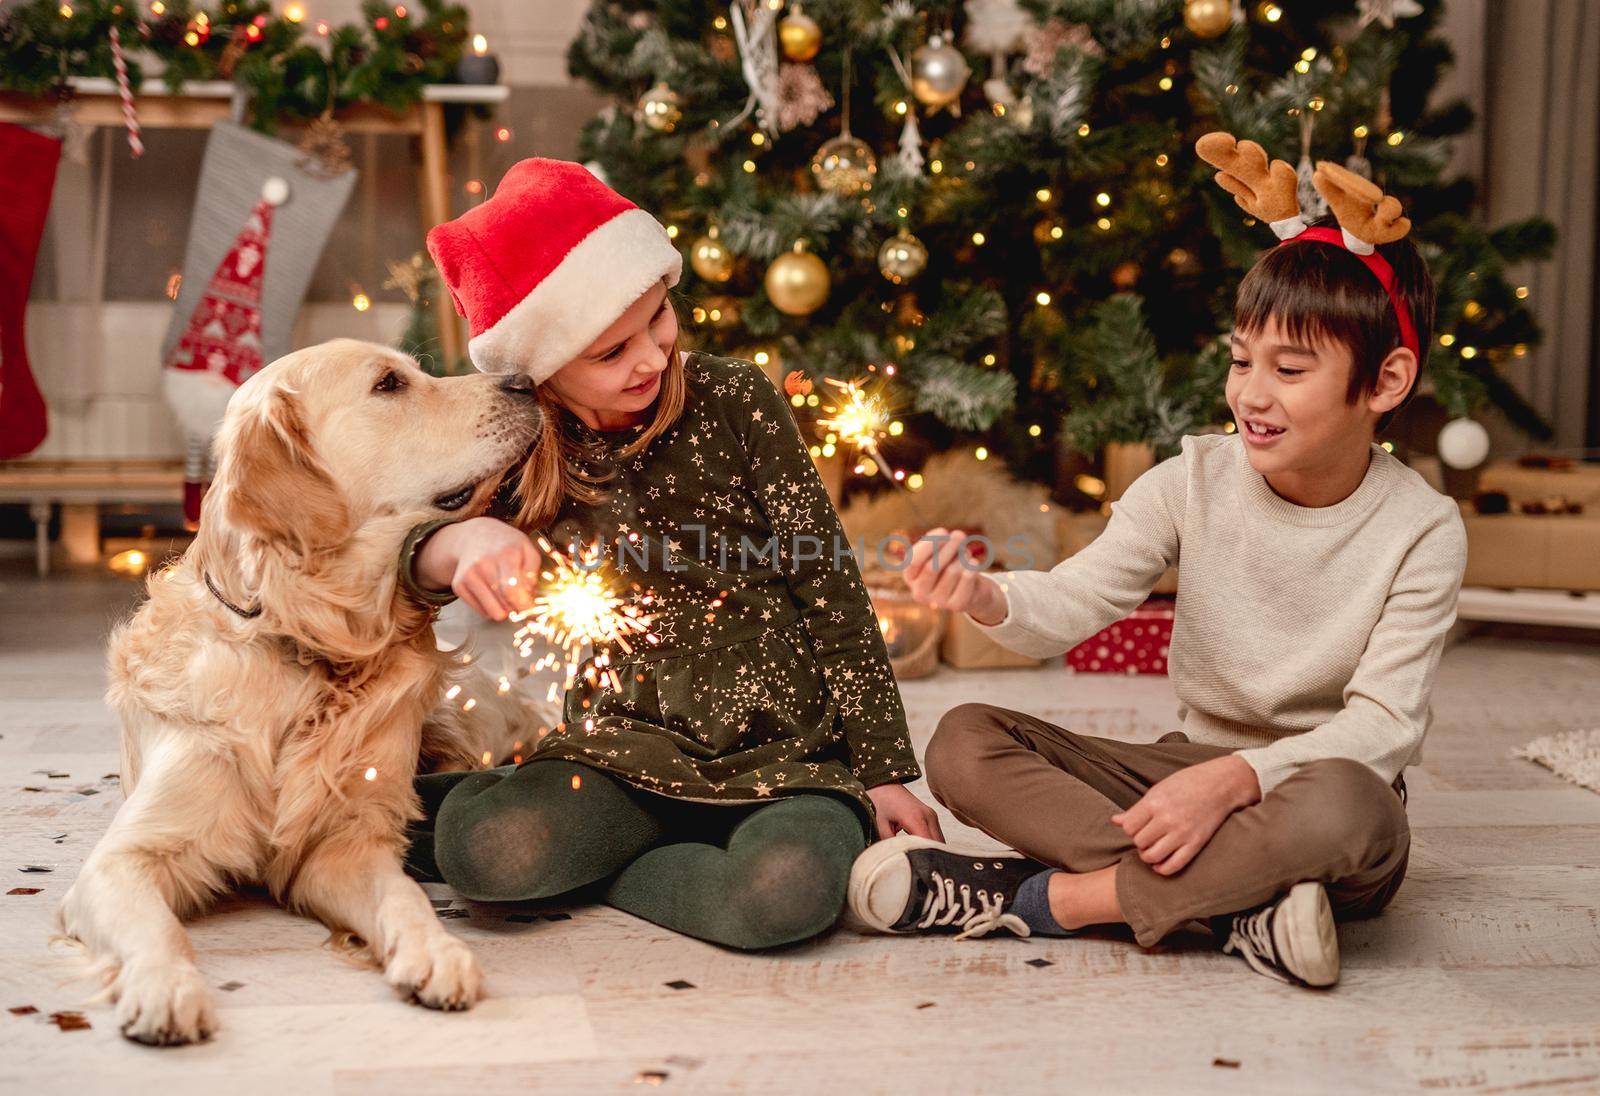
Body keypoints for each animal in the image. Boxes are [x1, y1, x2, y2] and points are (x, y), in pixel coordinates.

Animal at [59, 337, 540, 1036]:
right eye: (390, 383)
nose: (527, 381)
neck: (308, 641)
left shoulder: (338, 846)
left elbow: (402, 896)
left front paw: (435, 950)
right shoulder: (122, 858)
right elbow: (156, 927)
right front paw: (164, 985)